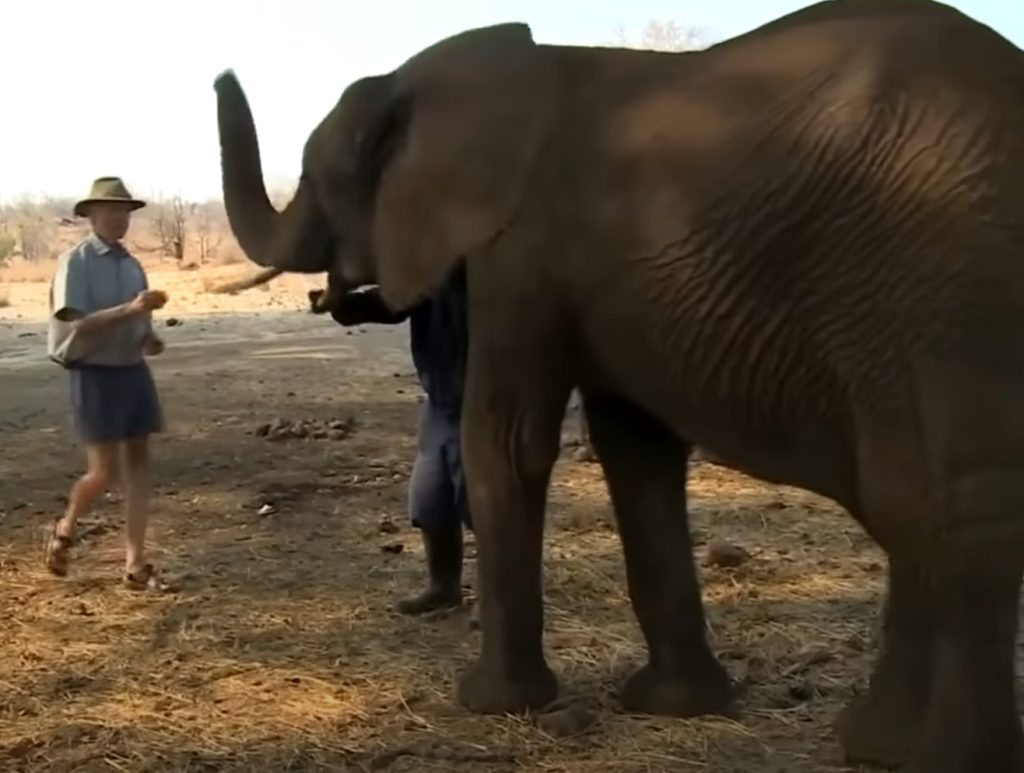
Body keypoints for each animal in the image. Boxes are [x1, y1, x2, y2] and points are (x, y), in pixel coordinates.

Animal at [211, 3, 1024, 769]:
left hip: (943, 280)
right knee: (907, 506)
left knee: (949, 510)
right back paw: (873, 744)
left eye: (317, 178)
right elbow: (635, 451)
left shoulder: (523, 251)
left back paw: (938, 761)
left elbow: (509, 441)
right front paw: (674, 707)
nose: (221, 70)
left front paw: (492, 704)